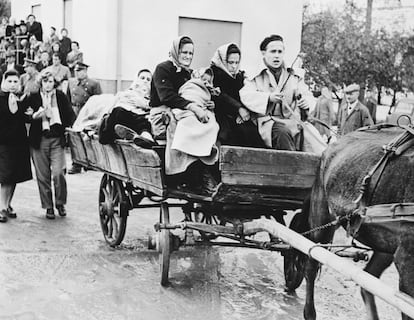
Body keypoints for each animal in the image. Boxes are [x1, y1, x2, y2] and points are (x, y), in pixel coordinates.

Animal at [300, 127, 414, 320]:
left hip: (385, 244)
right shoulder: (407, 259)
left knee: (368, 280)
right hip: (321, 214)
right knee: (312, 262)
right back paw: (309, 312)